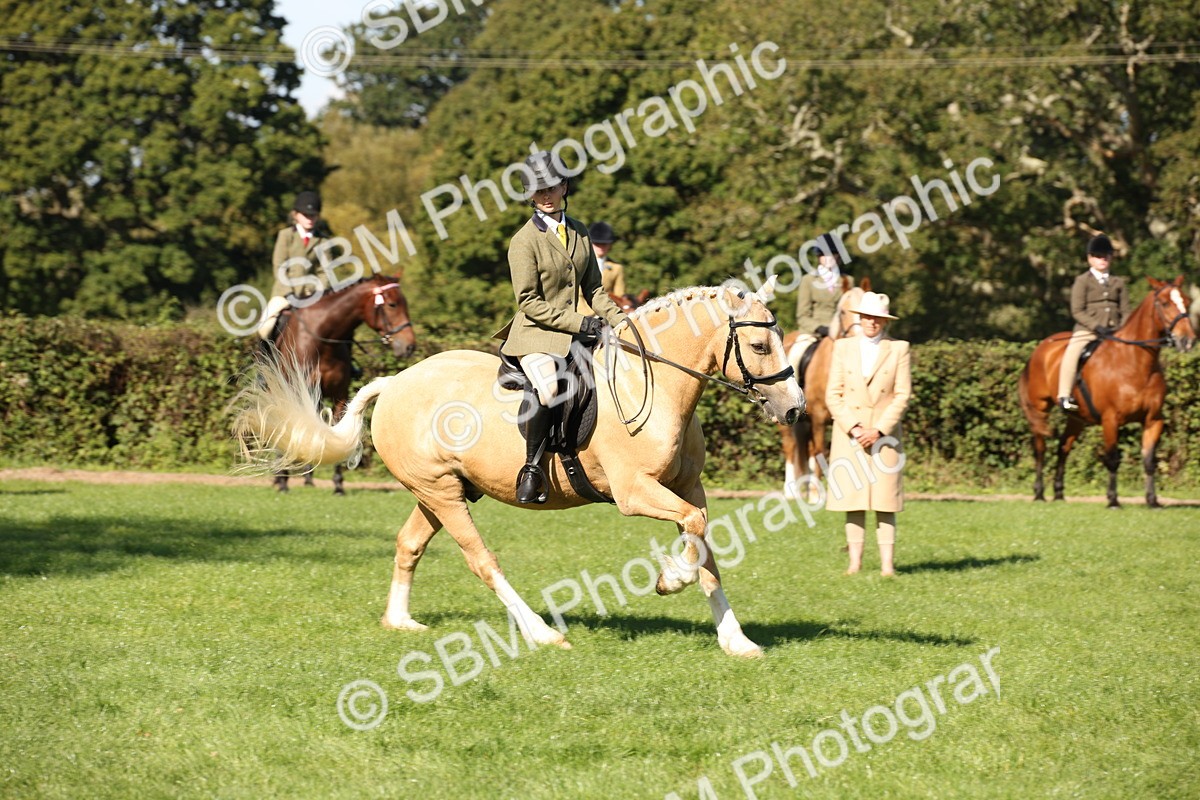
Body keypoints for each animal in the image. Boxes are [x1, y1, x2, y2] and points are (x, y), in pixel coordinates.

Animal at [270, 273, 416, 494]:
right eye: (392, 304)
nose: (410, 346)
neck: (324, 340)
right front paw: (283, 481)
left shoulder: (339, 395)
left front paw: (338, 484)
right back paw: (280, 477)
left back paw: (308, 476)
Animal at [779, 278, 870, 500]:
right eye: (843, 311)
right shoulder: (819, 417)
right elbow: (821, 451)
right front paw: (816, 495)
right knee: (791, 446)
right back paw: (791, 490)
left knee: (807, 448)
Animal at [1018, 276, 1196, 508]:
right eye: (1165, 303)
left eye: (1187, 301)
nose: (1188, 340)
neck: (1136, 362)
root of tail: (1041, 347)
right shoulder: (1110, 420)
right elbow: (1112, 458)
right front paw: (1113, 500)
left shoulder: (1153, 420)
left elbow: (1149, 461)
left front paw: (1152, 500)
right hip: (1040, 408)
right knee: (1040, 449)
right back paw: (1039, 493)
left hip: (1076, 418)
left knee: (1063, 447)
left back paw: (1058, 494)